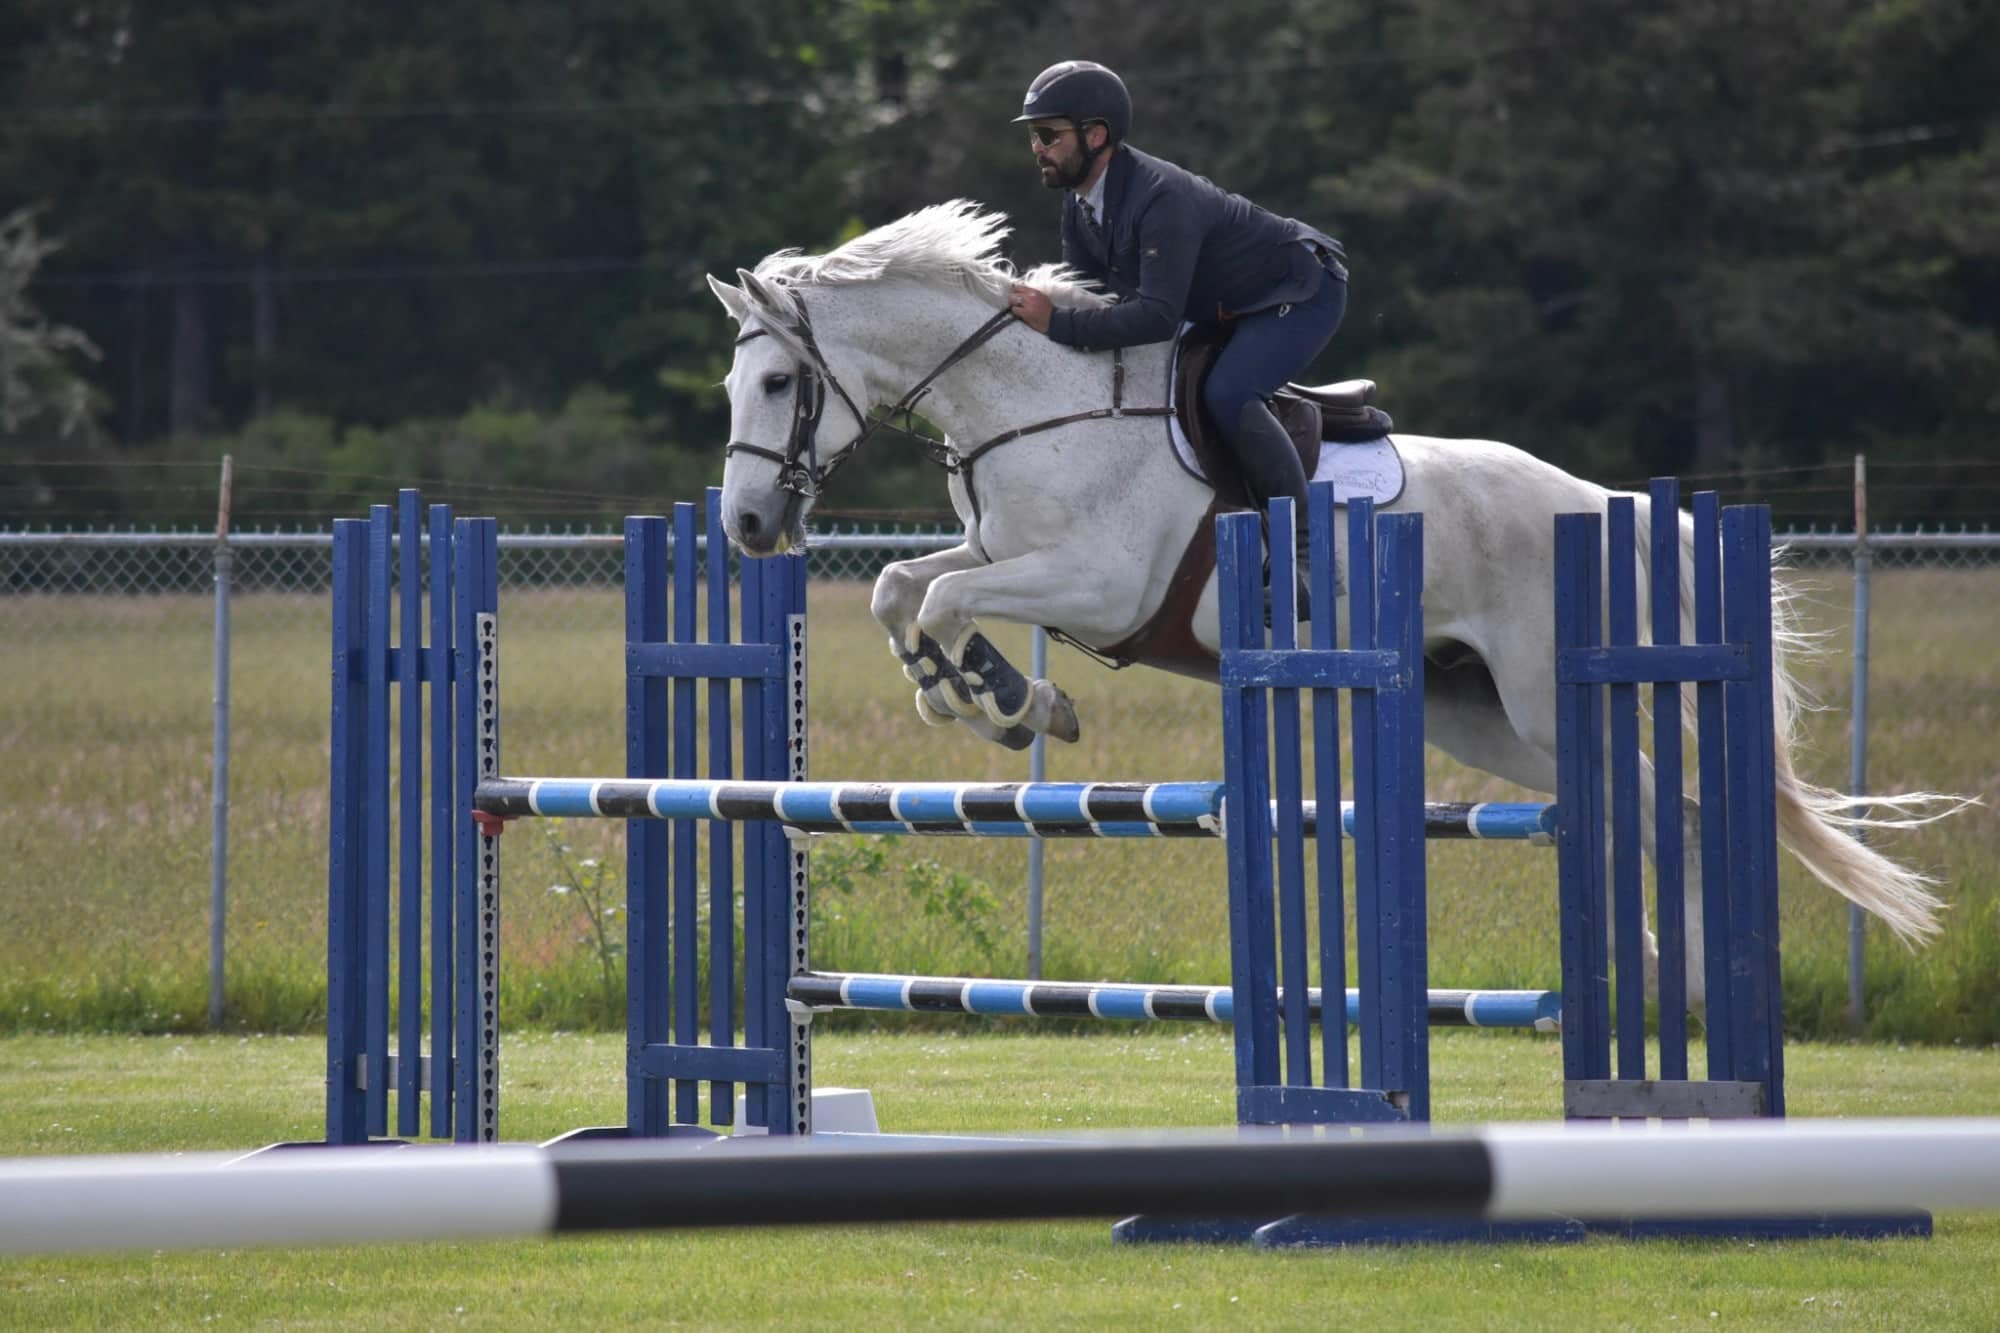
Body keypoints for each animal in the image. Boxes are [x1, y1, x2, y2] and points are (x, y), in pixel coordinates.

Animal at [706, 199, 1952, 1008]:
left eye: (775, 381)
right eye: (732, 383)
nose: (750, 527)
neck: (1031, 402)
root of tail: (1626, 514)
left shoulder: (1096, 585)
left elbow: (946, 596)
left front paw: (1011, 706)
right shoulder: (1005, 550)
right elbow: (901, 586)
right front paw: (969, 693)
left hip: (1542, 697)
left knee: (1670, 813)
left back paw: (1678, 993)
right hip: (1480, 717)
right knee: (1628, 810)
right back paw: (1646, 982)